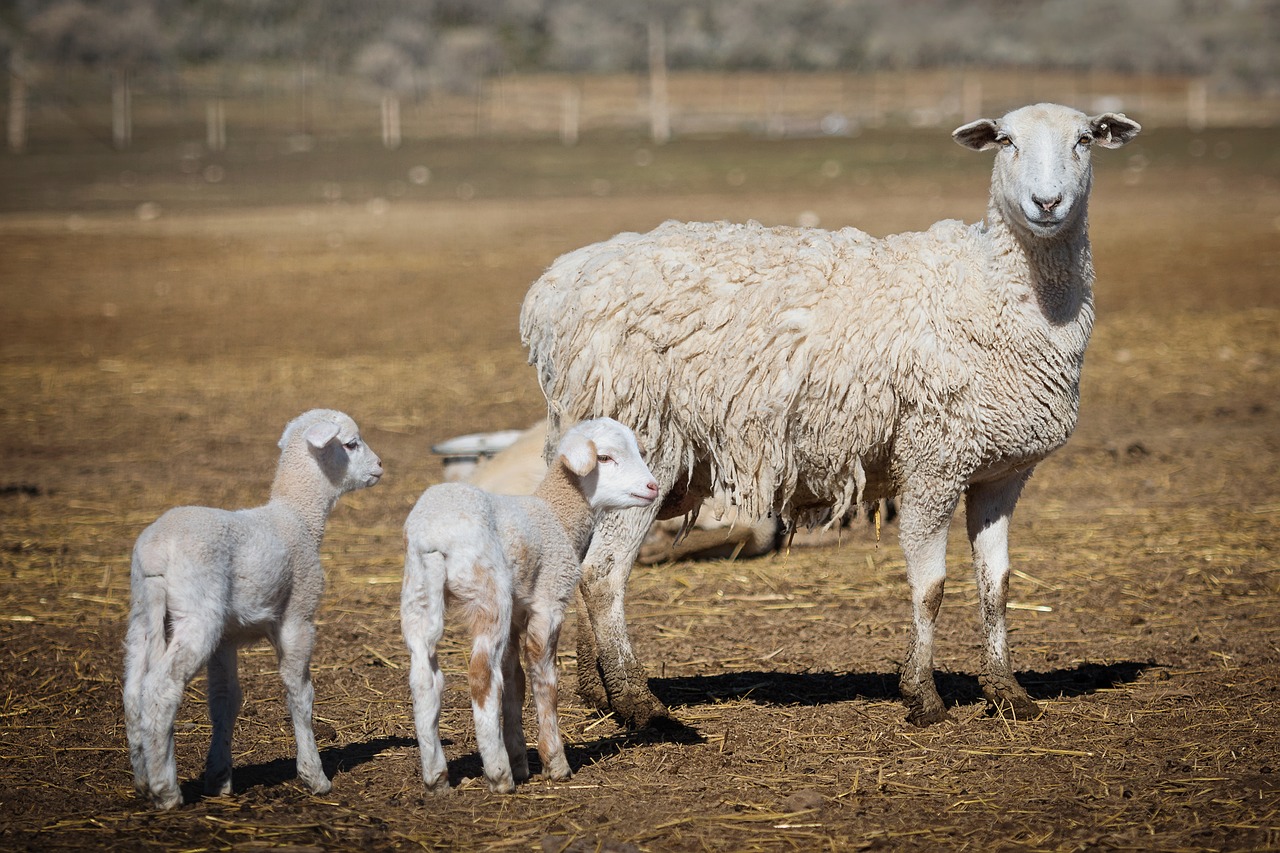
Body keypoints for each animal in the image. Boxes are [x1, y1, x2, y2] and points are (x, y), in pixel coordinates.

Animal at [121, 409, 381, 809]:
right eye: (351, 444)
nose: (380, 466)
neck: (297, 516)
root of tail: (155, 553)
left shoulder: (227, 639)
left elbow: (225, 700)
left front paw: (219, 777)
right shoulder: (298, 614)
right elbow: (300, 692)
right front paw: (314, 775)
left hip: (142, 616)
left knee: (134, 691)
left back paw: (143, 781)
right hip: (198, 612)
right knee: (161, 688)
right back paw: (166, 790)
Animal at [401, 417, 660, 788]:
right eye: (605, 458)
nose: (653, 487)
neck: (557, 514)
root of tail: (436, 536)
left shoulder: (515, 617)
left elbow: (514, 681)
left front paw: (521, 759)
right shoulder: (549, 602)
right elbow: (544, 679)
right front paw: (554, 762)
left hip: (417, 594)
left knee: (424, 677)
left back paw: (437, 777)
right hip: (489, 596)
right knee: (481, 676)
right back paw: (498, 774)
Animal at [519, 99, 1141, 722]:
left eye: (1085, 139)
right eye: (1006, 141)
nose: (1047, 203)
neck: (993, 290)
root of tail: (554, 286)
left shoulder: (1001, 473)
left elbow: (998, 584)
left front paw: (1007, 691)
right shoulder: (933, 460)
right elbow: (931, 587)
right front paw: (922, 694)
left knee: (585, 563)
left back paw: (598, 690)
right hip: (645, 431)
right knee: (603, 573)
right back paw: (637, 703)